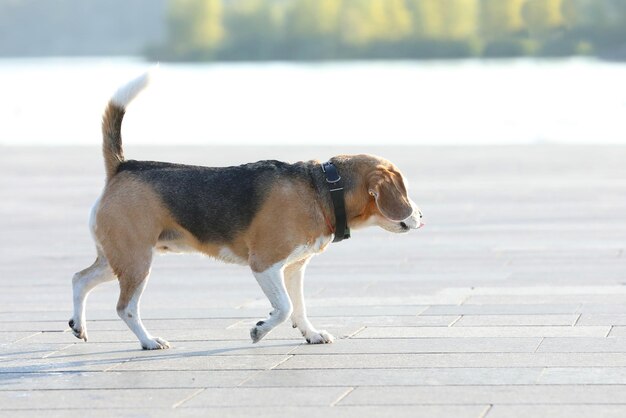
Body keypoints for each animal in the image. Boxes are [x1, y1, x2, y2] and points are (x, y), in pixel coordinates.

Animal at [68, 72, 422, 350]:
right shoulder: (264, 265)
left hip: (118, 259)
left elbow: (299, 307)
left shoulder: (294, 267)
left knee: (79, 279)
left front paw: (310, 334)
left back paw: (78, 325)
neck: (323, 187)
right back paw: (148, 340)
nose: (421, 216)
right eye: (404, 187)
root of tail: (123, 166)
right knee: (125, 307)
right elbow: (283, 307)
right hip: (137, 261)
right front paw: (259, 330)